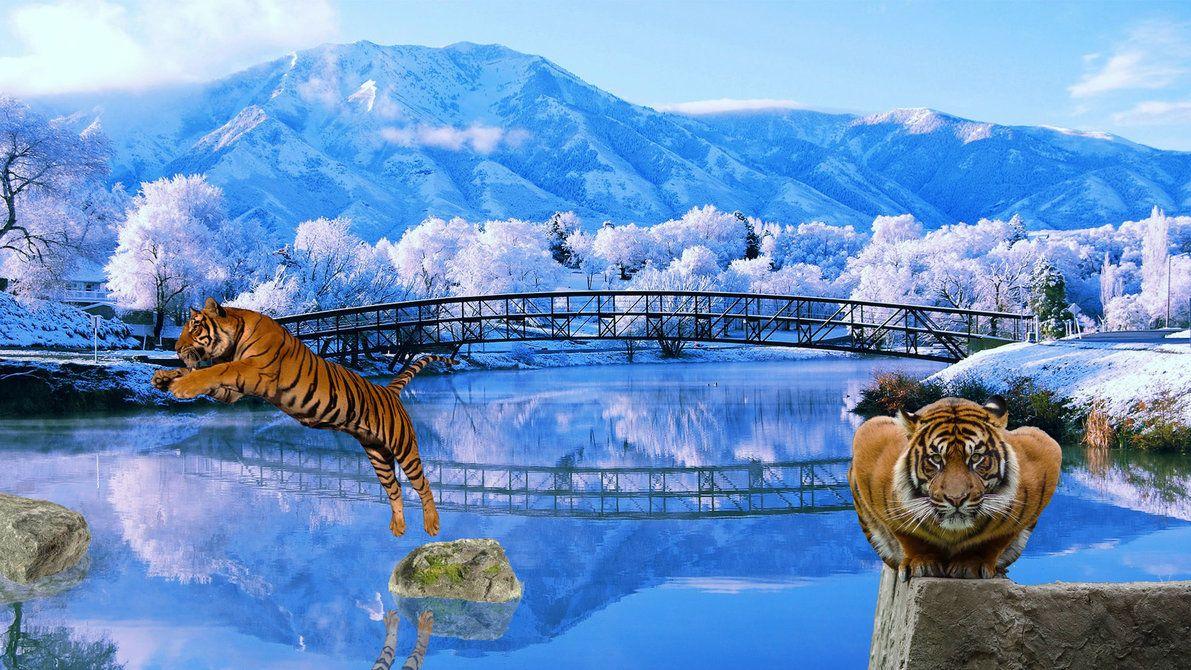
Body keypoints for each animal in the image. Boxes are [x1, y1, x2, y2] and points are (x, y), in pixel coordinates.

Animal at [151, 298, 455, 537]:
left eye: (195, 326)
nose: (175, 349)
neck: (233, 341)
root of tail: (388, 390)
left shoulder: (252, 370)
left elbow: (214, 370)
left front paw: (181, 385)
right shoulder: (232, 393)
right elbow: (201, 373)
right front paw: (164, 377)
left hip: (403, 447)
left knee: (423, 484)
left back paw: (432, 525)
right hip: (378, 455)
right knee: (394, 489)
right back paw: (398, 527)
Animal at [848, 395, 1061, 581]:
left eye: (976, 457)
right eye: (936, 459)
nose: (956, 499)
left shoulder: (1046, 450)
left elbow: (997, 538)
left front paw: (972, 563)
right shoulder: (869, 440)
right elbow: (907, 533)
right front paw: (922, 562)